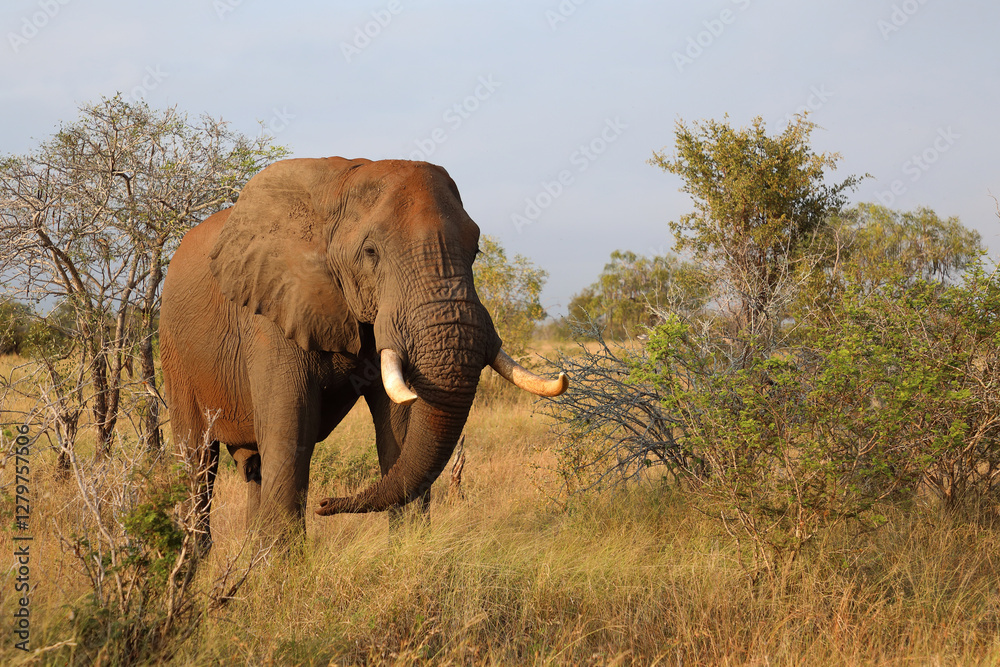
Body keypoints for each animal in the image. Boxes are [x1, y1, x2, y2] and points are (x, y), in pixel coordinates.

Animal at [159, 156, 567, 546]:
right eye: (371, 253)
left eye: (476, 250)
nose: (324, 504)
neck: (342, 184)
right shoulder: (271, 308)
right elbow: (291, 427)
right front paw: (284, 567)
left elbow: (400, 428)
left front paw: (408, 552)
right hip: (174, 352)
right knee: (197, 459)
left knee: (253, 467)